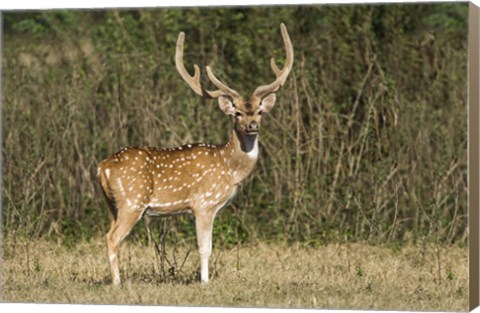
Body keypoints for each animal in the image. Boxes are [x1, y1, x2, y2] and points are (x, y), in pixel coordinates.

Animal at [97, 23, 292, 284]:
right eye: (237, 113)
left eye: (260, 111)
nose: (253, 126)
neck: (230, 167)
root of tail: (102, 167)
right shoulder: (204, 203)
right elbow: (205, 247)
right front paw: (205, 282)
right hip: (132, 201)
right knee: (112, 238)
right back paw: (117, 283)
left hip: (112, 204)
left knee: (109, 233)